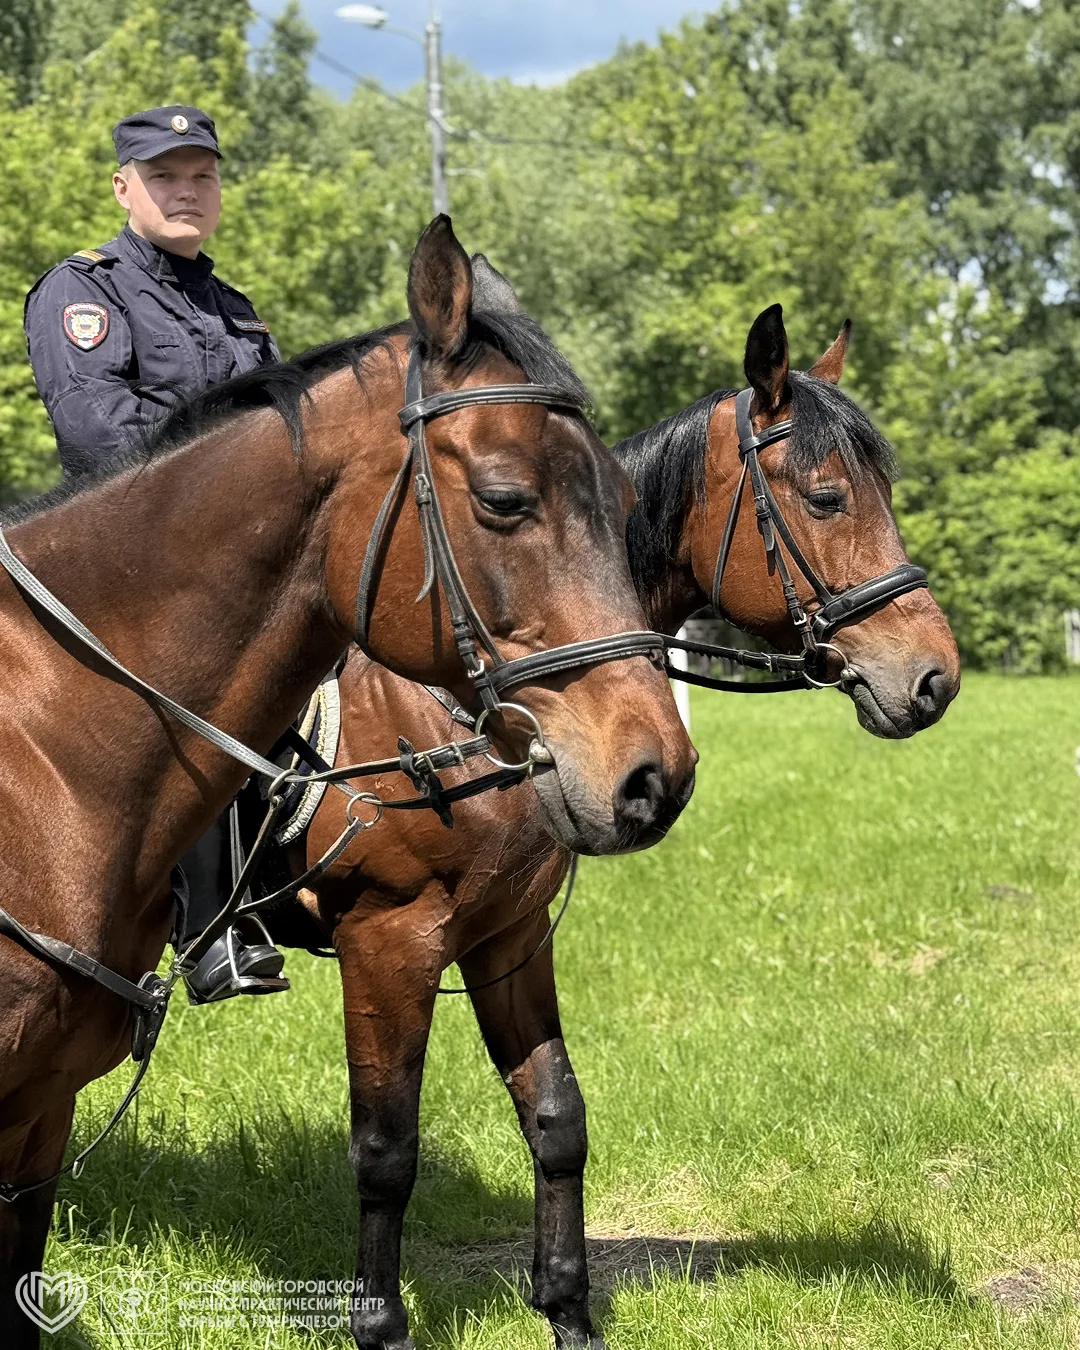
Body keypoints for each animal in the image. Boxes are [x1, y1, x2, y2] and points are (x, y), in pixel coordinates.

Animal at [287, 291, 961, 1349]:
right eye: (825, 498)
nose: (935, 677)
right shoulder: (387, 942)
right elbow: (387, 1149)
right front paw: (379, 1326)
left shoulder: (510, 934)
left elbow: (557, 1119)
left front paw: (569, 1310)